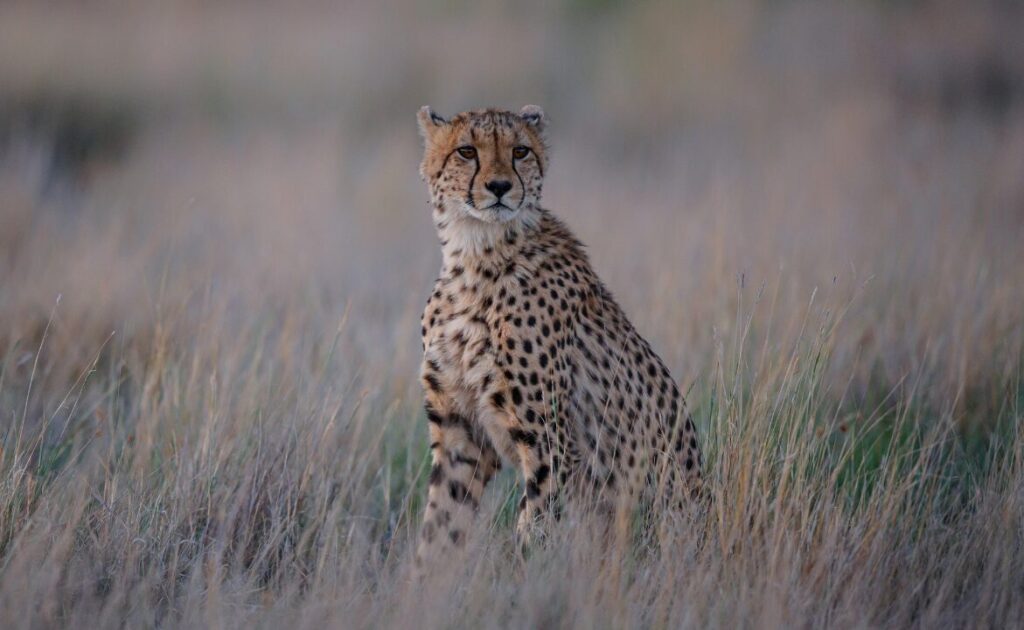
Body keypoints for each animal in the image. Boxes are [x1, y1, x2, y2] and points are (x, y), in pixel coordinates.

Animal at [414, 105, 703, 571]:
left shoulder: (549, 442)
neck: (475, 253)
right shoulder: (461, 430)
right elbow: (440, 527)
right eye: (466, 151)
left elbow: (534, 530)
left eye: (520, 151)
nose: (499, 186)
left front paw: (521, 583)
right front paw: (419, 586)